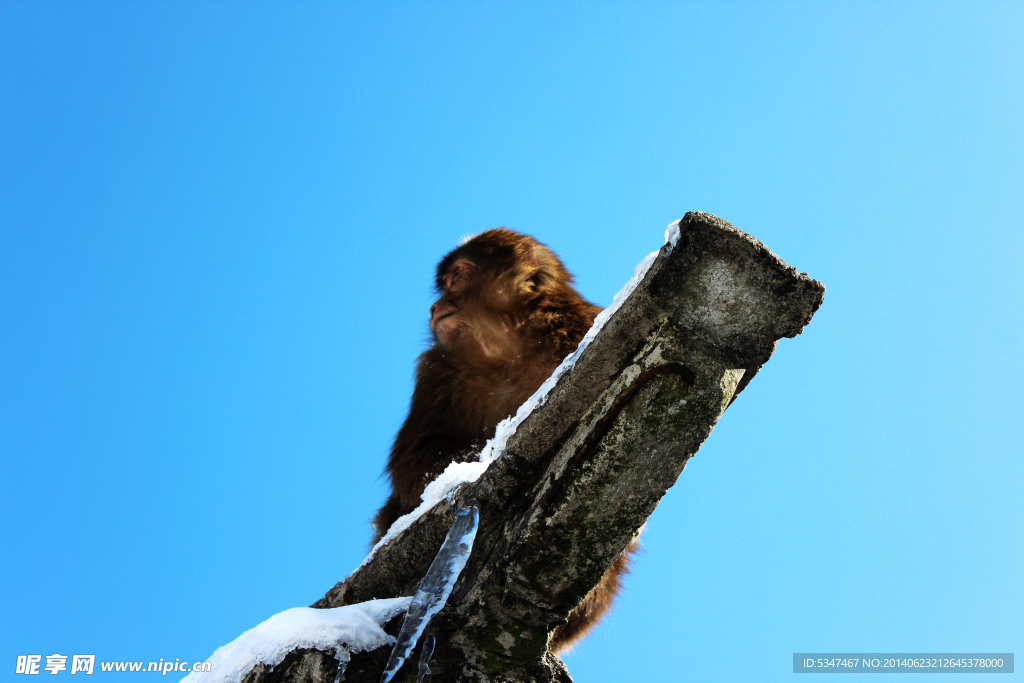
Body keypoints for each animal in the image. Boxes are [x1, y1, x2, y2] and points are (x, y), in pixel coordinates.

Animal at [372, 228, 634, 651]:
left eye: (457, 276)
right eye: (444, 282)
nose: (436, 304)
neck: (506, 346)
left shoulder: (581, 326)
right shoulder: (435, 371)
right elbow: (412, 464)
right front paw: (473, 462)